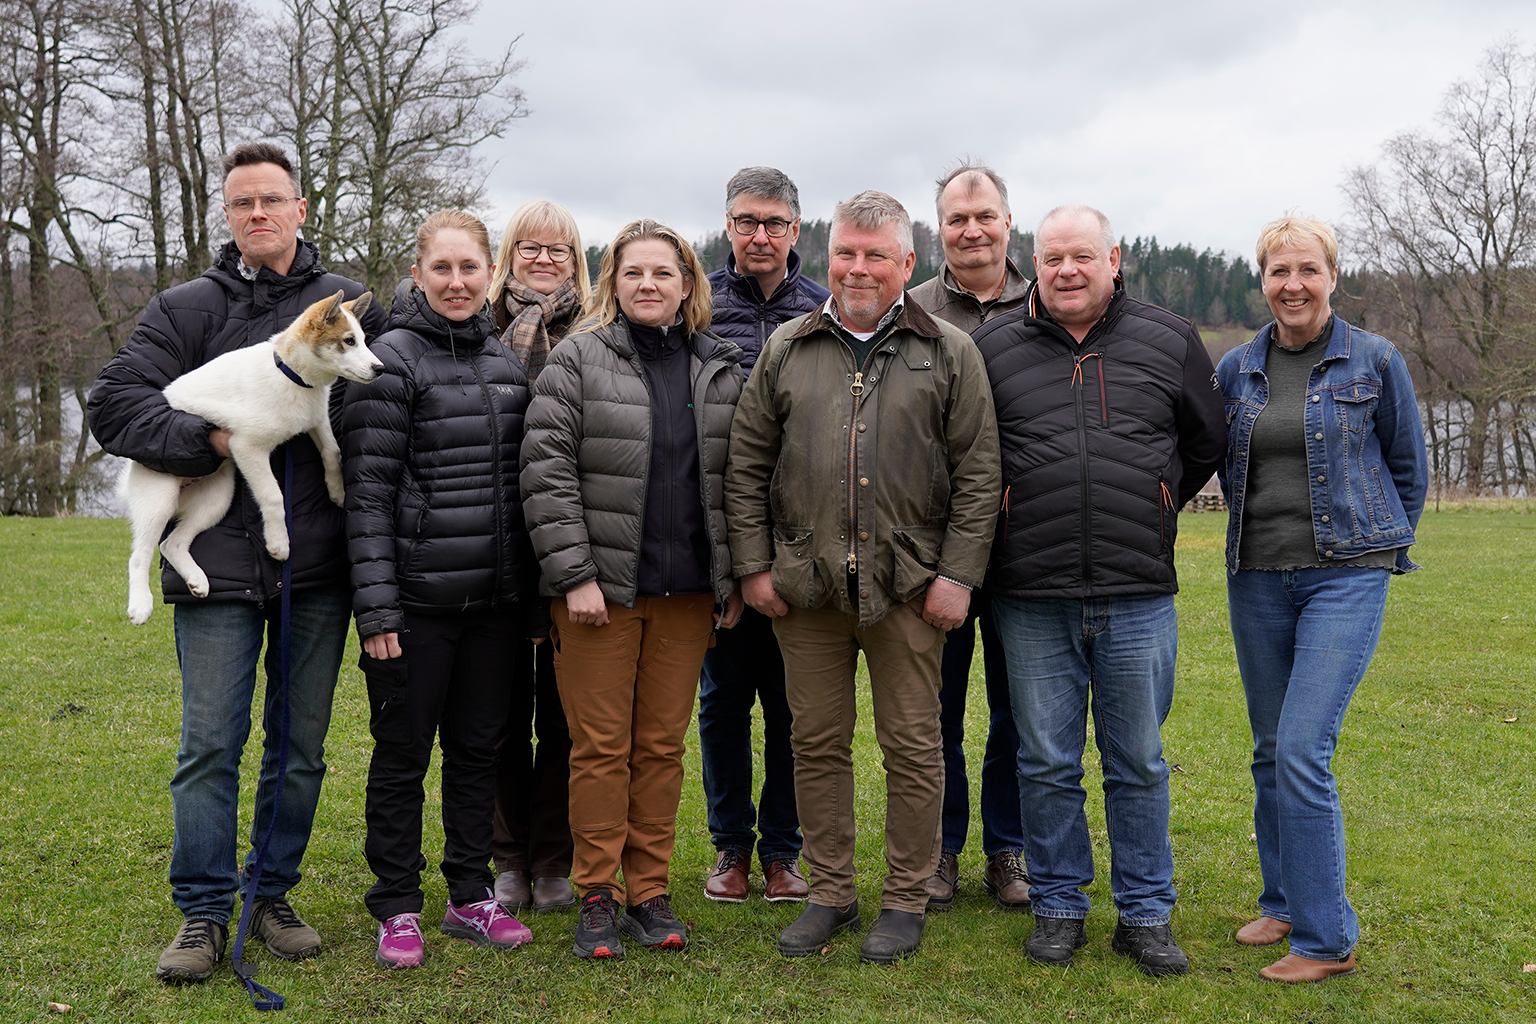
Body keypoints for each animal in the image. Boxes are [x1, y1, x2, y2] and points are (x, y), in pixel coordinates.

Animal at [122, 288, 380, 626]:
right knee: (140, 554)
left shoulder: (316, 419)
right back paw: (141, 603)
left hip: (216, 499)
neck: (291, 375)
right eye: (348, 341)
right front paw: (278, 542)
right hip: (160, 499)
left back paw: (197, 579)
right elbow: (273, 496)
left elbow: (332, 450)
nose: (380, 369)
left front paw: (336, 490)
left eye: (362, 339)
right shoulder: (247, 447)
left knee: (171, 543)